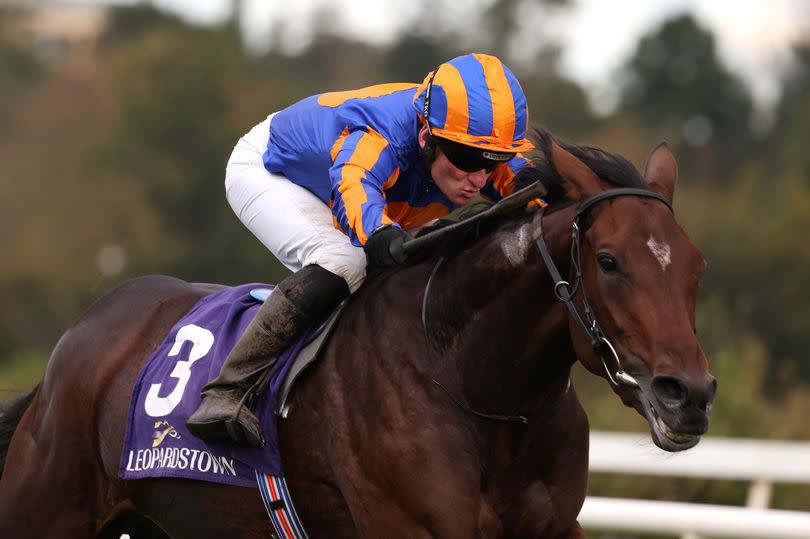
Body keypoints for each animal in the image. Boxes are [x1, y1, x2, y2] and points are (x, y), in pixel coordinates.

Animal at [0, 129, 712, 536]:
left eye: (696, 265)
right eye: (610, 261)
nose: (690, 395)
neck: (459, 371)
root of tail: (82, 336)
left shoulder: (556, 529)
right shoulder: (412, 528)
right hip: (45, 508)